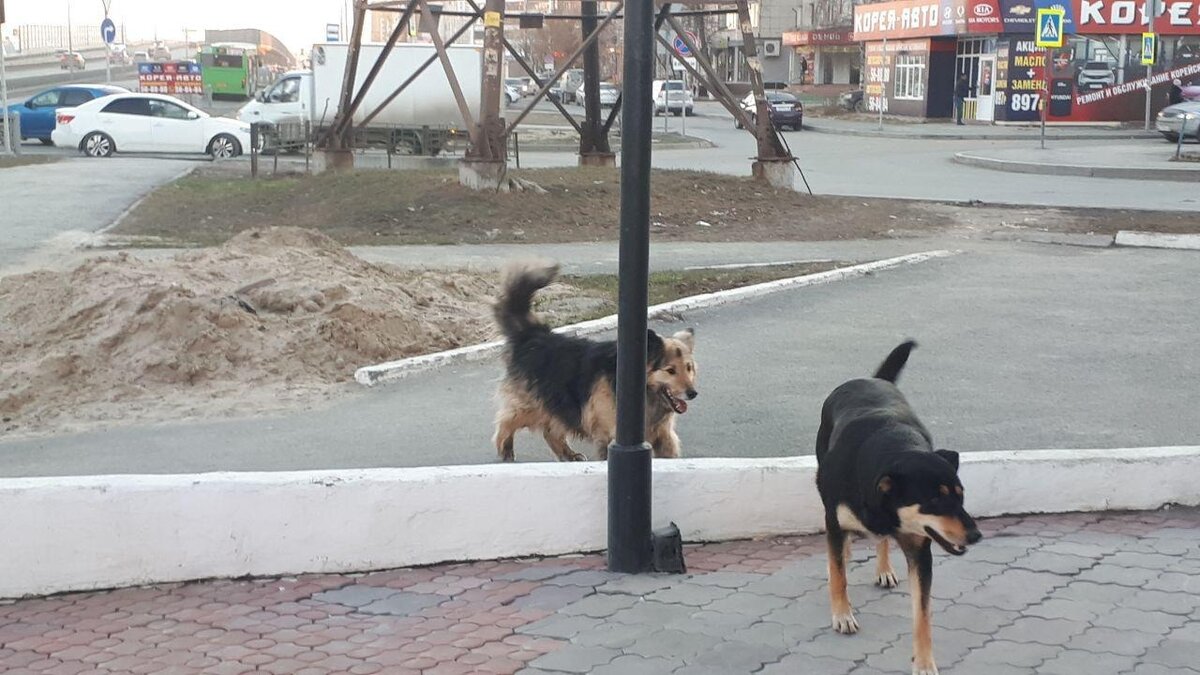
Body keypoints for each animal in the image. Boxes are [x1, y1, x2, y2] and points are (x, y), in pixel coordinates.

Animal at [489, 258, 700, 461]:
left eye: (688, 368)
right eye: (670, 370)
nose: (693, 393)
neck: (646, 392)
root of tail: (533, 334)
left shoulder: (664, 435)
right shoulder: (609, 435)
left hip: (558, 404)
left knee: (550, 431)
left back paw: (569, 455)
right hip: (533, 404)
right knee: (507, 420)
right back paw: (505, 449)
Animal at [816, 341, 974, 672]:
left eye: (960, 495)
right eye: (935, 500)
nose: (976, 535)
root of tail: (872, 379)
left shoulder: (920, 549)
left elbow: (922, 613)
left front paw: (924, 662)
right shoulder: (834, 520)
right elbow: (839, 576)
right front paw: (842, 615)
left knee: (882, 540)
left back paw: (884, 568)